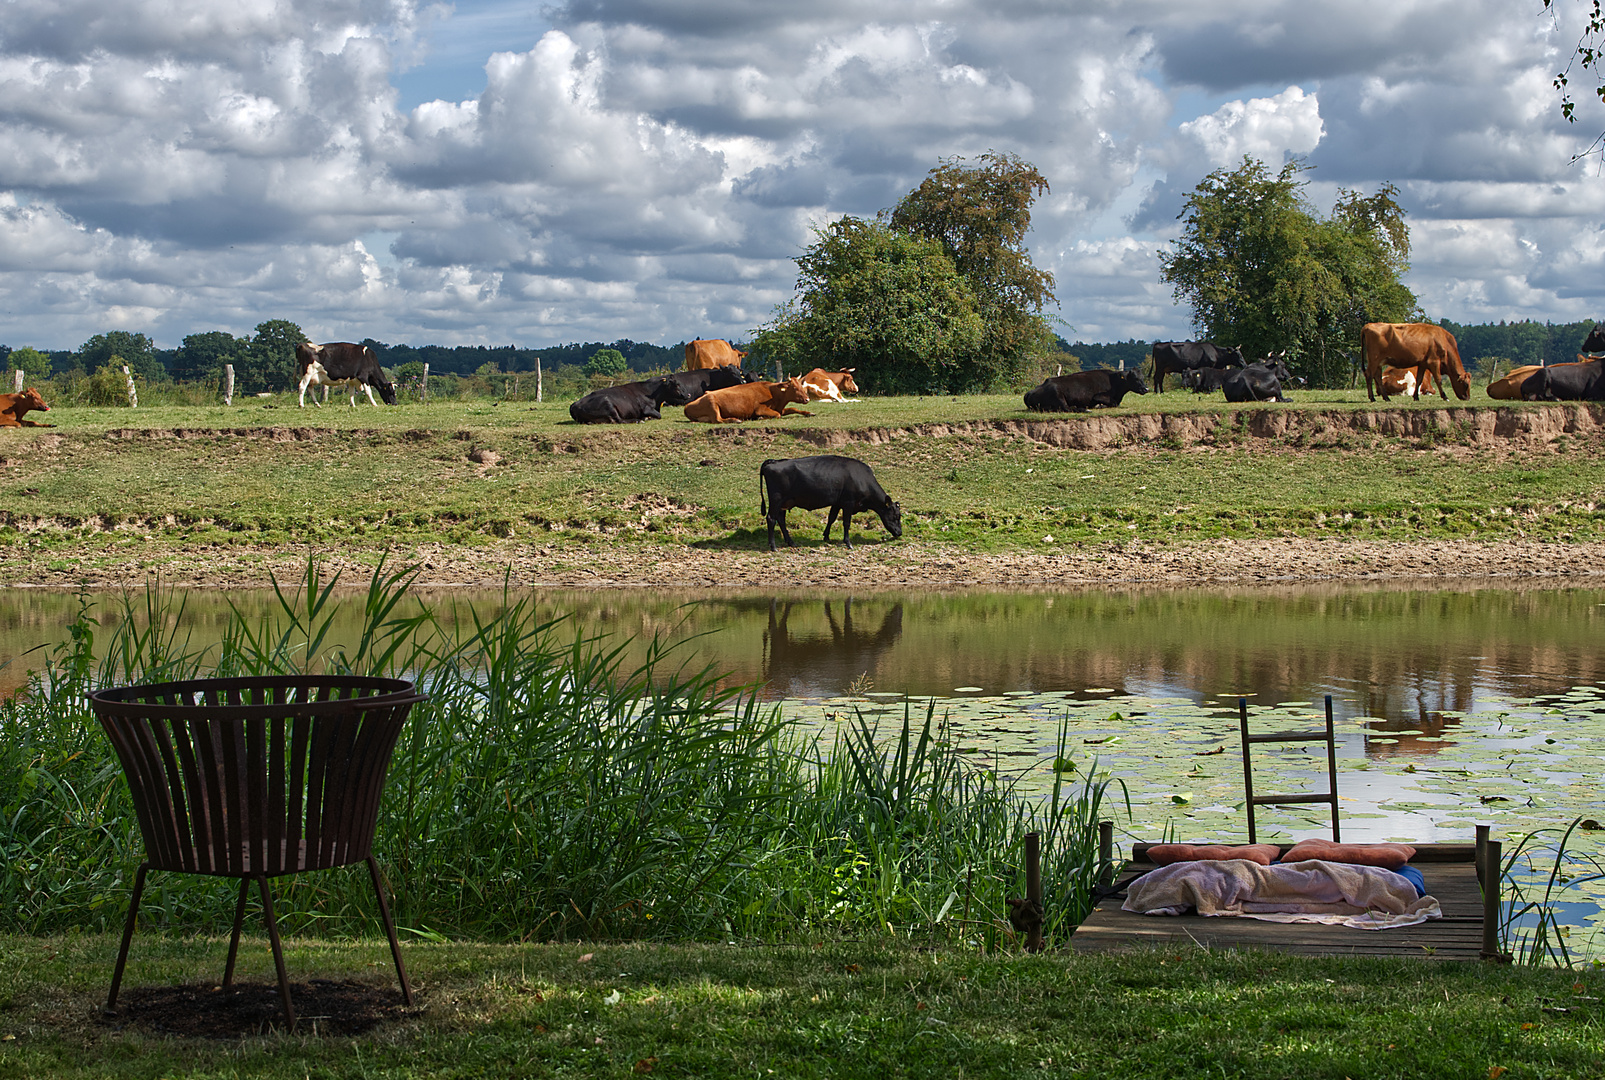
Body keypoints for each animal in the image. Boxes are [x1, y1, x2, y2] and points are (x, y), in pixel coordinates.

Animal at [683, 372, 815, 420]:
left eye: (802, 386)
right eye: (794, 388)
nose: (807, 399)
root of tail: (687, 406)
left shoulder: (780, 409)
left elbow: (793, 408)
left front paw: (809, 413)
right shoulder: (760, 409)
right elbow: (776, 415)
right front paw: (760, 418)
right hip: (712, 404)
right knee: (718, 420)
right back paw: (735, 420)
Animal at [760, 455, 905, 555]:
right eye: (896, 516)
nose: (899, 532)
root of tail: (774, 461)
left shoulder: (837, 503)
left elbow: (831, 518)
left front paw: (826, 536)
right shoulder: (848, 503)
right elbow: (846, 523)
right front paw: (848, 543)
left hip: (784, 503)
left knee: (781, 520)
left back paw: (790, 542)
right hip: (776, 499)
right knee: (771, 519)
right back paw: (773, 546)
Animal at [1020, 365, 1149, 409]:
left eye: (1143, 377)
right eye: (1135, 378)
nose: (1146, 389)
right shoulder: (1097, 396)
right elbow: (1113, 403)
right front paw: (1099, 406)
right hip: (1057, 395)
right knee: (1066, 408)